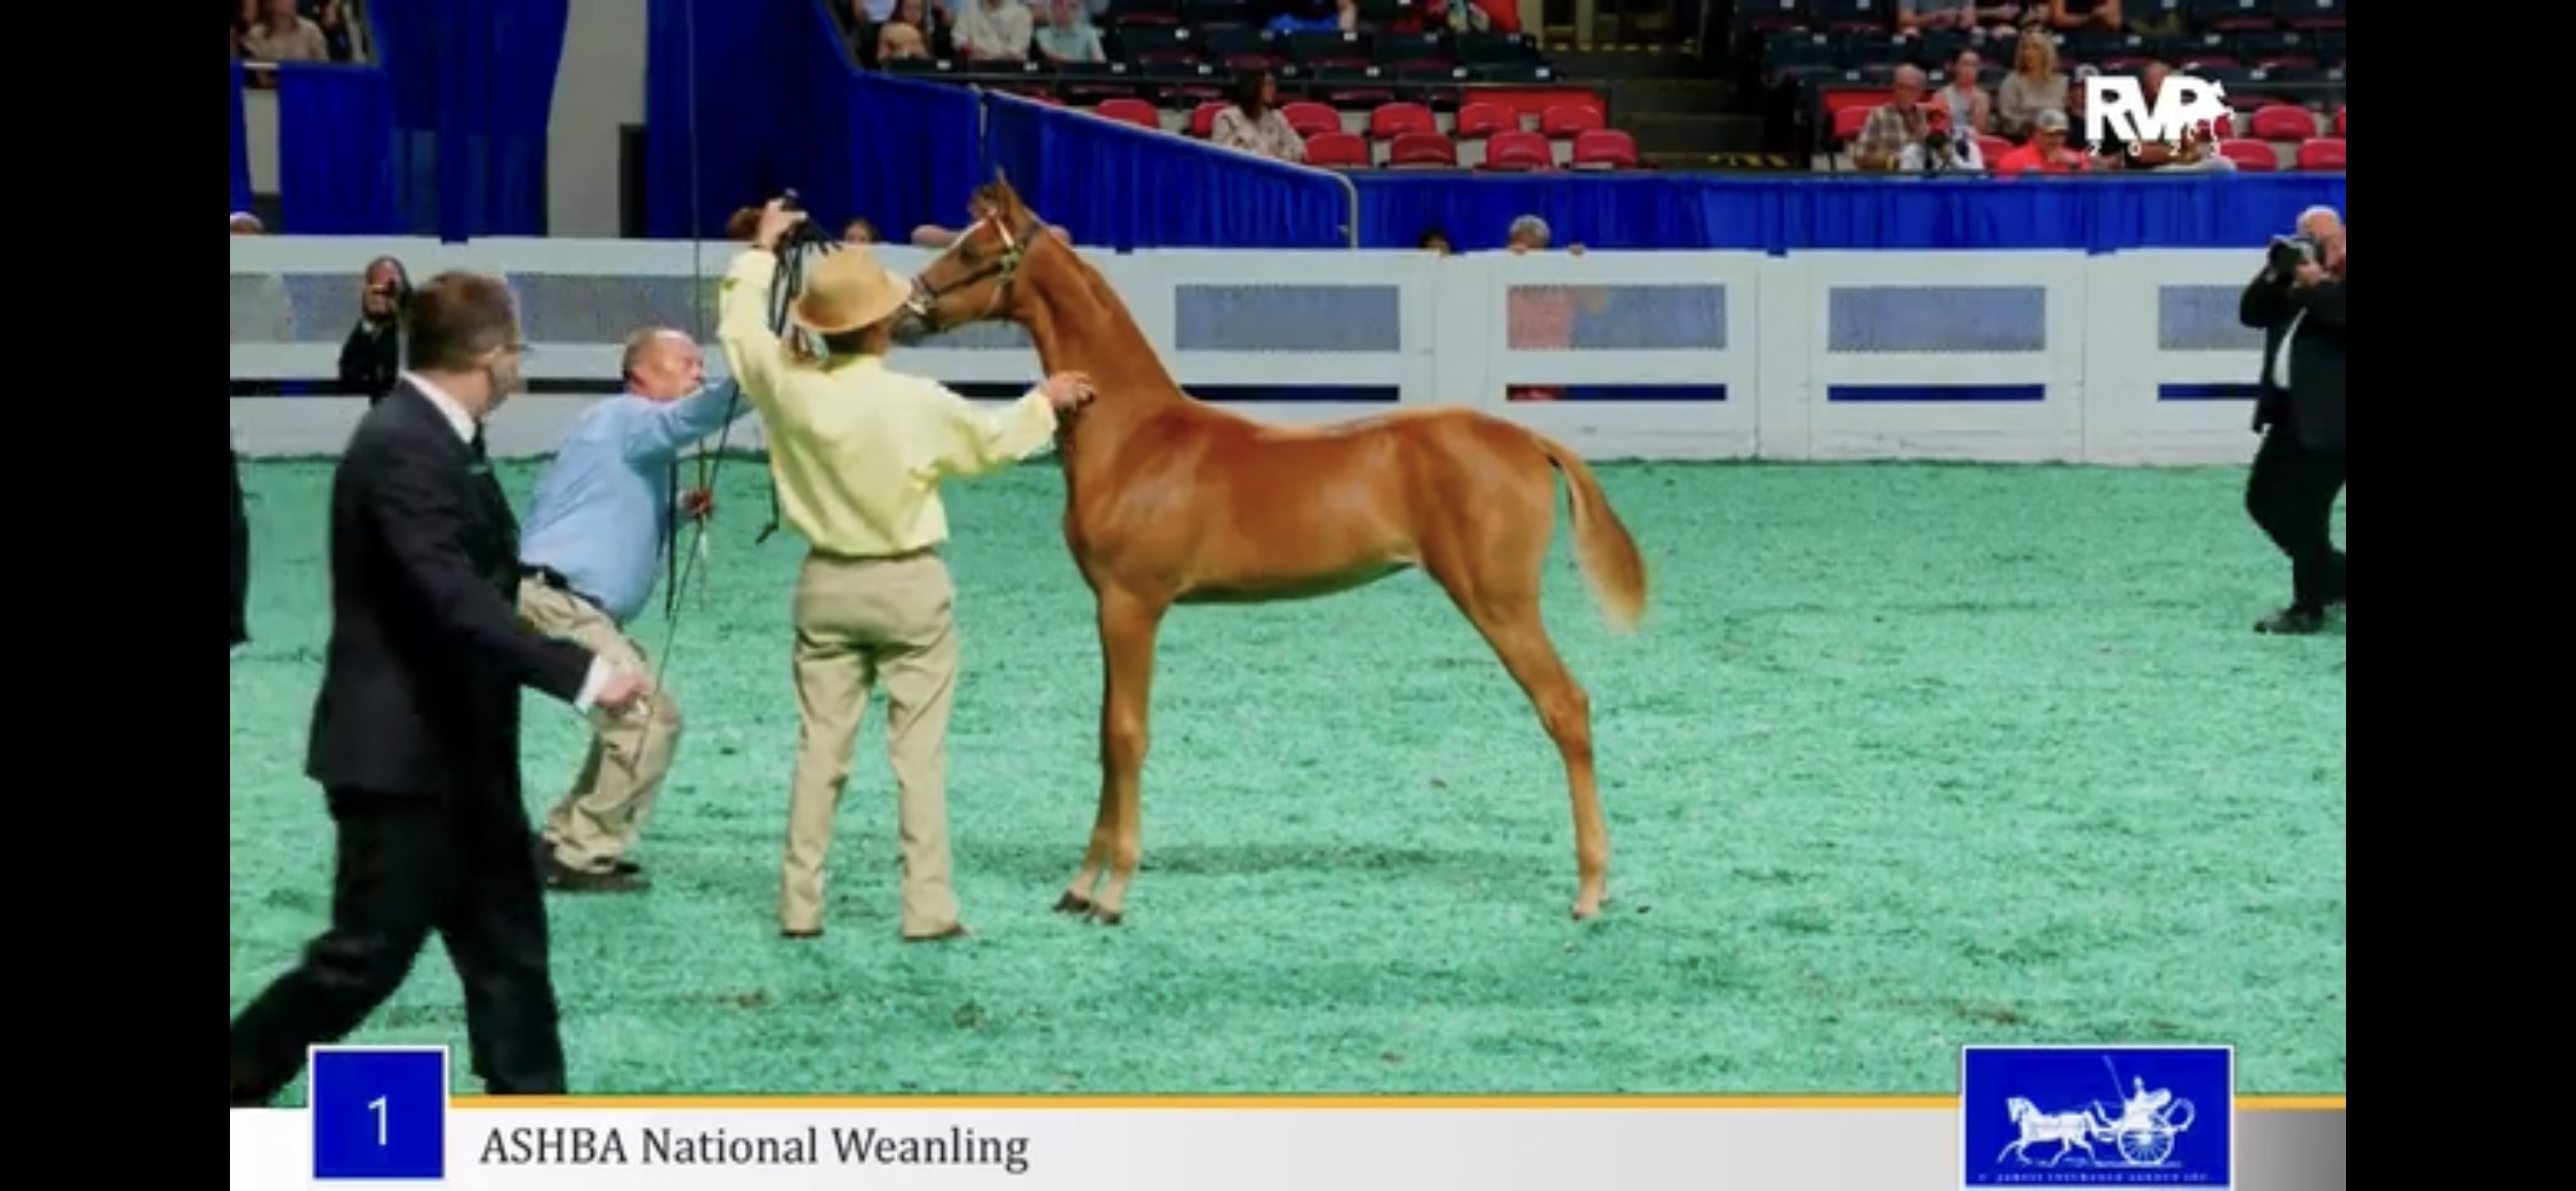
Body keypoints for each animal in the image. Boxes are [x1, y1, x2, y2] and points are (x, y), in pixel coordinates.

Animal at [895, 177, 1649, 924]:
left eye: (974, 251)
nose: (905, 312)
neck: (1136, 437)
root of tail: (1529, 440)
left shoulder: (1133, 605)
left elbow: (1128, 734)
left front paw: (1112, 892)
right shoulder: (1109, 608)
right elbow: (1106, 735)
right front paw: (1080, 885)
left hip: (1499, 602)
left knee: (1566, 707)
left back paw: (1590, 888)